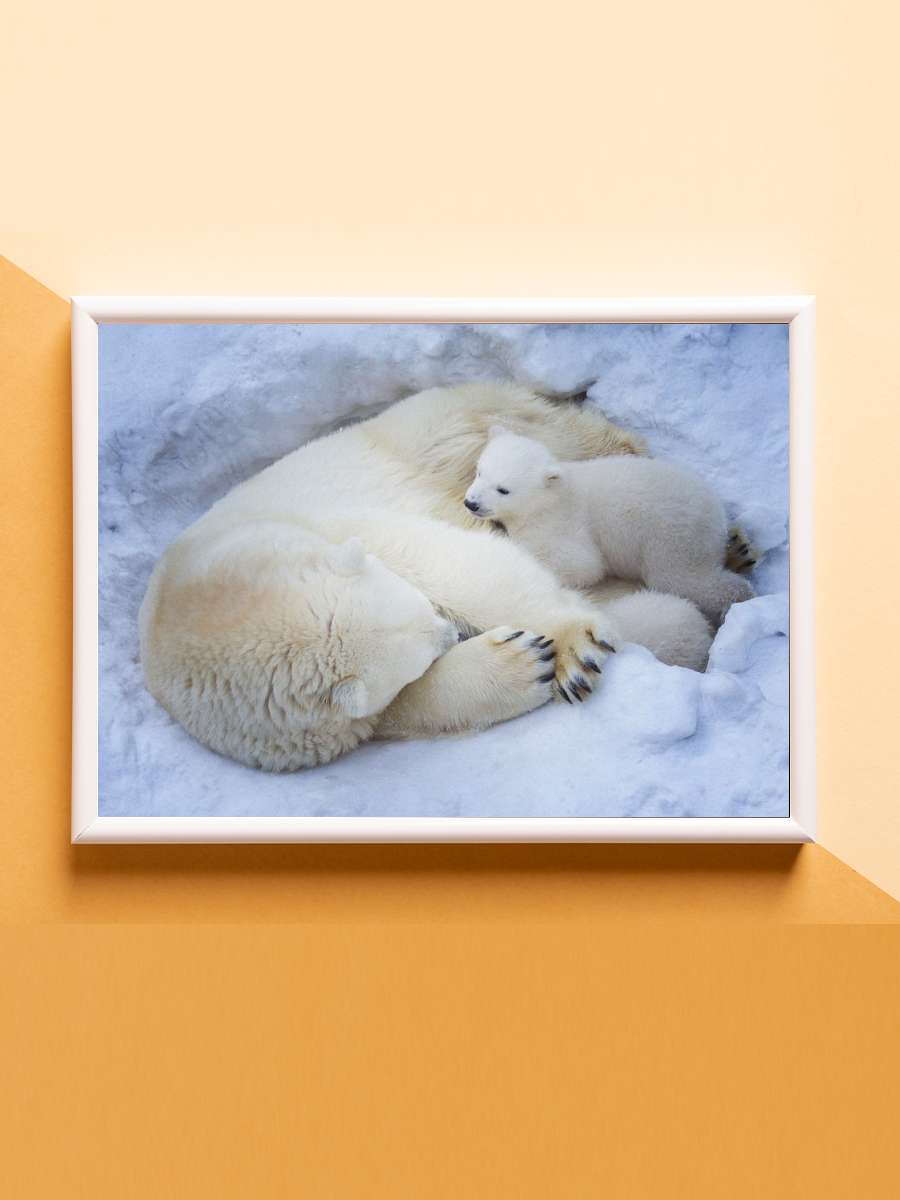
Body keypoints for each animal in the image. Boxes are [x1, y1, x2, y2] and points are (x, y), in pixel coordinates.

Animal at [139, 382, 713, 771]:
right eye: (419, 655)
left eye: (419, 603)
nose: (450, 632)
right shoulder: (297, 725)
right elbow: (395, 710)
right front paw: (524, 661)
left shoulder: (336, 524)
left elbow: (448, 559)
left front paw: (573, 649)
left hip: (454, 428)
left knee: (562, 437)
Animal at [465, 427, 755, 625]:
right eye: (480, 471)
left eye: (503, 489)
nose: (471, 503)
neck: (553, 496)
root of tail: (717, 513)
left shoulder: (563, 524)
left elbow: (583, 564)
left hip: (674, 537)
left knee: (683, 579)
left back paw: (739, 597)